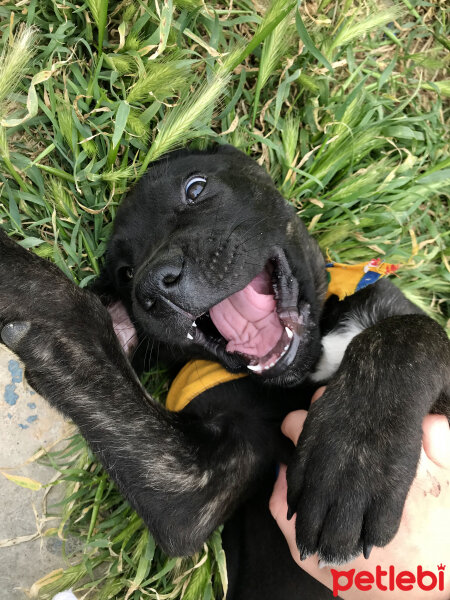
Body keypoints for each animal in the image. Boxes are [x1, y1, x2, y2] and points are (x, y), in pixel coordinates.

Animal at [0, 146, 448, 600]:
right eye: (125, 273)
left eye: (195, 188)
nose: (152, 288)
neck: (310, 362)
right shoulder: (194, 486)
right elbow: (86, 337)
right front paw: (25, 282)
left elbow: (411, 332)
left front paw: (352, 465)